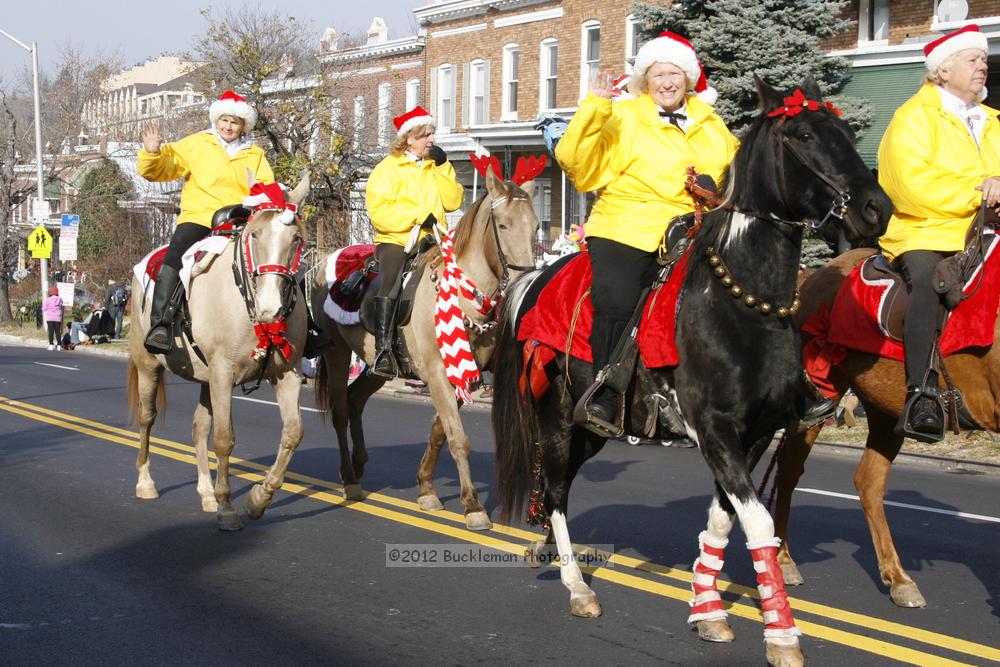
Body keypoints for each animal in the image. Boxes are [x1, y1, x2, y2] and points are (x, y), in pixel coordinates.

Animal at [127, 176, 310, 532]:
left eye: (295, 239)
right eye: (255, 234)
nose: (270, 309)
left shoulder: (287, 375)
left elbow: (293, 434)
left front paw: (258, 498)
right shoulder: (224, 374)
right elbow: (225, 439)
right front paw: (228, 507)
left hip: (205, 378)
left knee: (199, 427)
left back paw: (206, 493)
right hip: (148, 366)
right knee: (146, 418)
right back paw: (145, 482)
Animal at [314, 168, 540, 532]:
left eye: (534, 226)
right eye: (503, 225)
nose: (526, 281)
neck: (462, 296)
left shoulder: (461, 376)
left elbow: (439, 432)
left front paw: (426, 489)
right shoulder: (437, 375)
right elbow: (458, 438)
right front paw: (472, 506)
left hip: (379, 367)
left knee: (355, 400)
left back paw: (359, 465)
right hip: (336, 354)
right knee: (339, 410)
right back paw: (349, 478)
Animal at [492, 78, 892, 667]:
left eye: (844, 129)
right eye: (802, 134)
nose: (875, 208)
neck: (744, 304)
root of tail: (534, 279)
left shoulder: (754, 436)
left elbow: (724, 519)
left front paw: (708, 611)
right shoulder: (716, 430)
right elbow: (759, 523)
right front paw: (781, 636)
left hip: (591, 431)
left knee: (554, 484)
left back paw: (545, 546)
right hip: (559, 421)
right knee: (559, 491)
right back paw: (577, 586)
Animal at [772, 247, 1000, 612]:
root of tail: (814, 277)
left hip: (885, 411)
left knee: (868, 482)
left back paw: (899, 579)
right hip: (818, 400)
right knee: (789, 472)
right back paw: (783, 559)